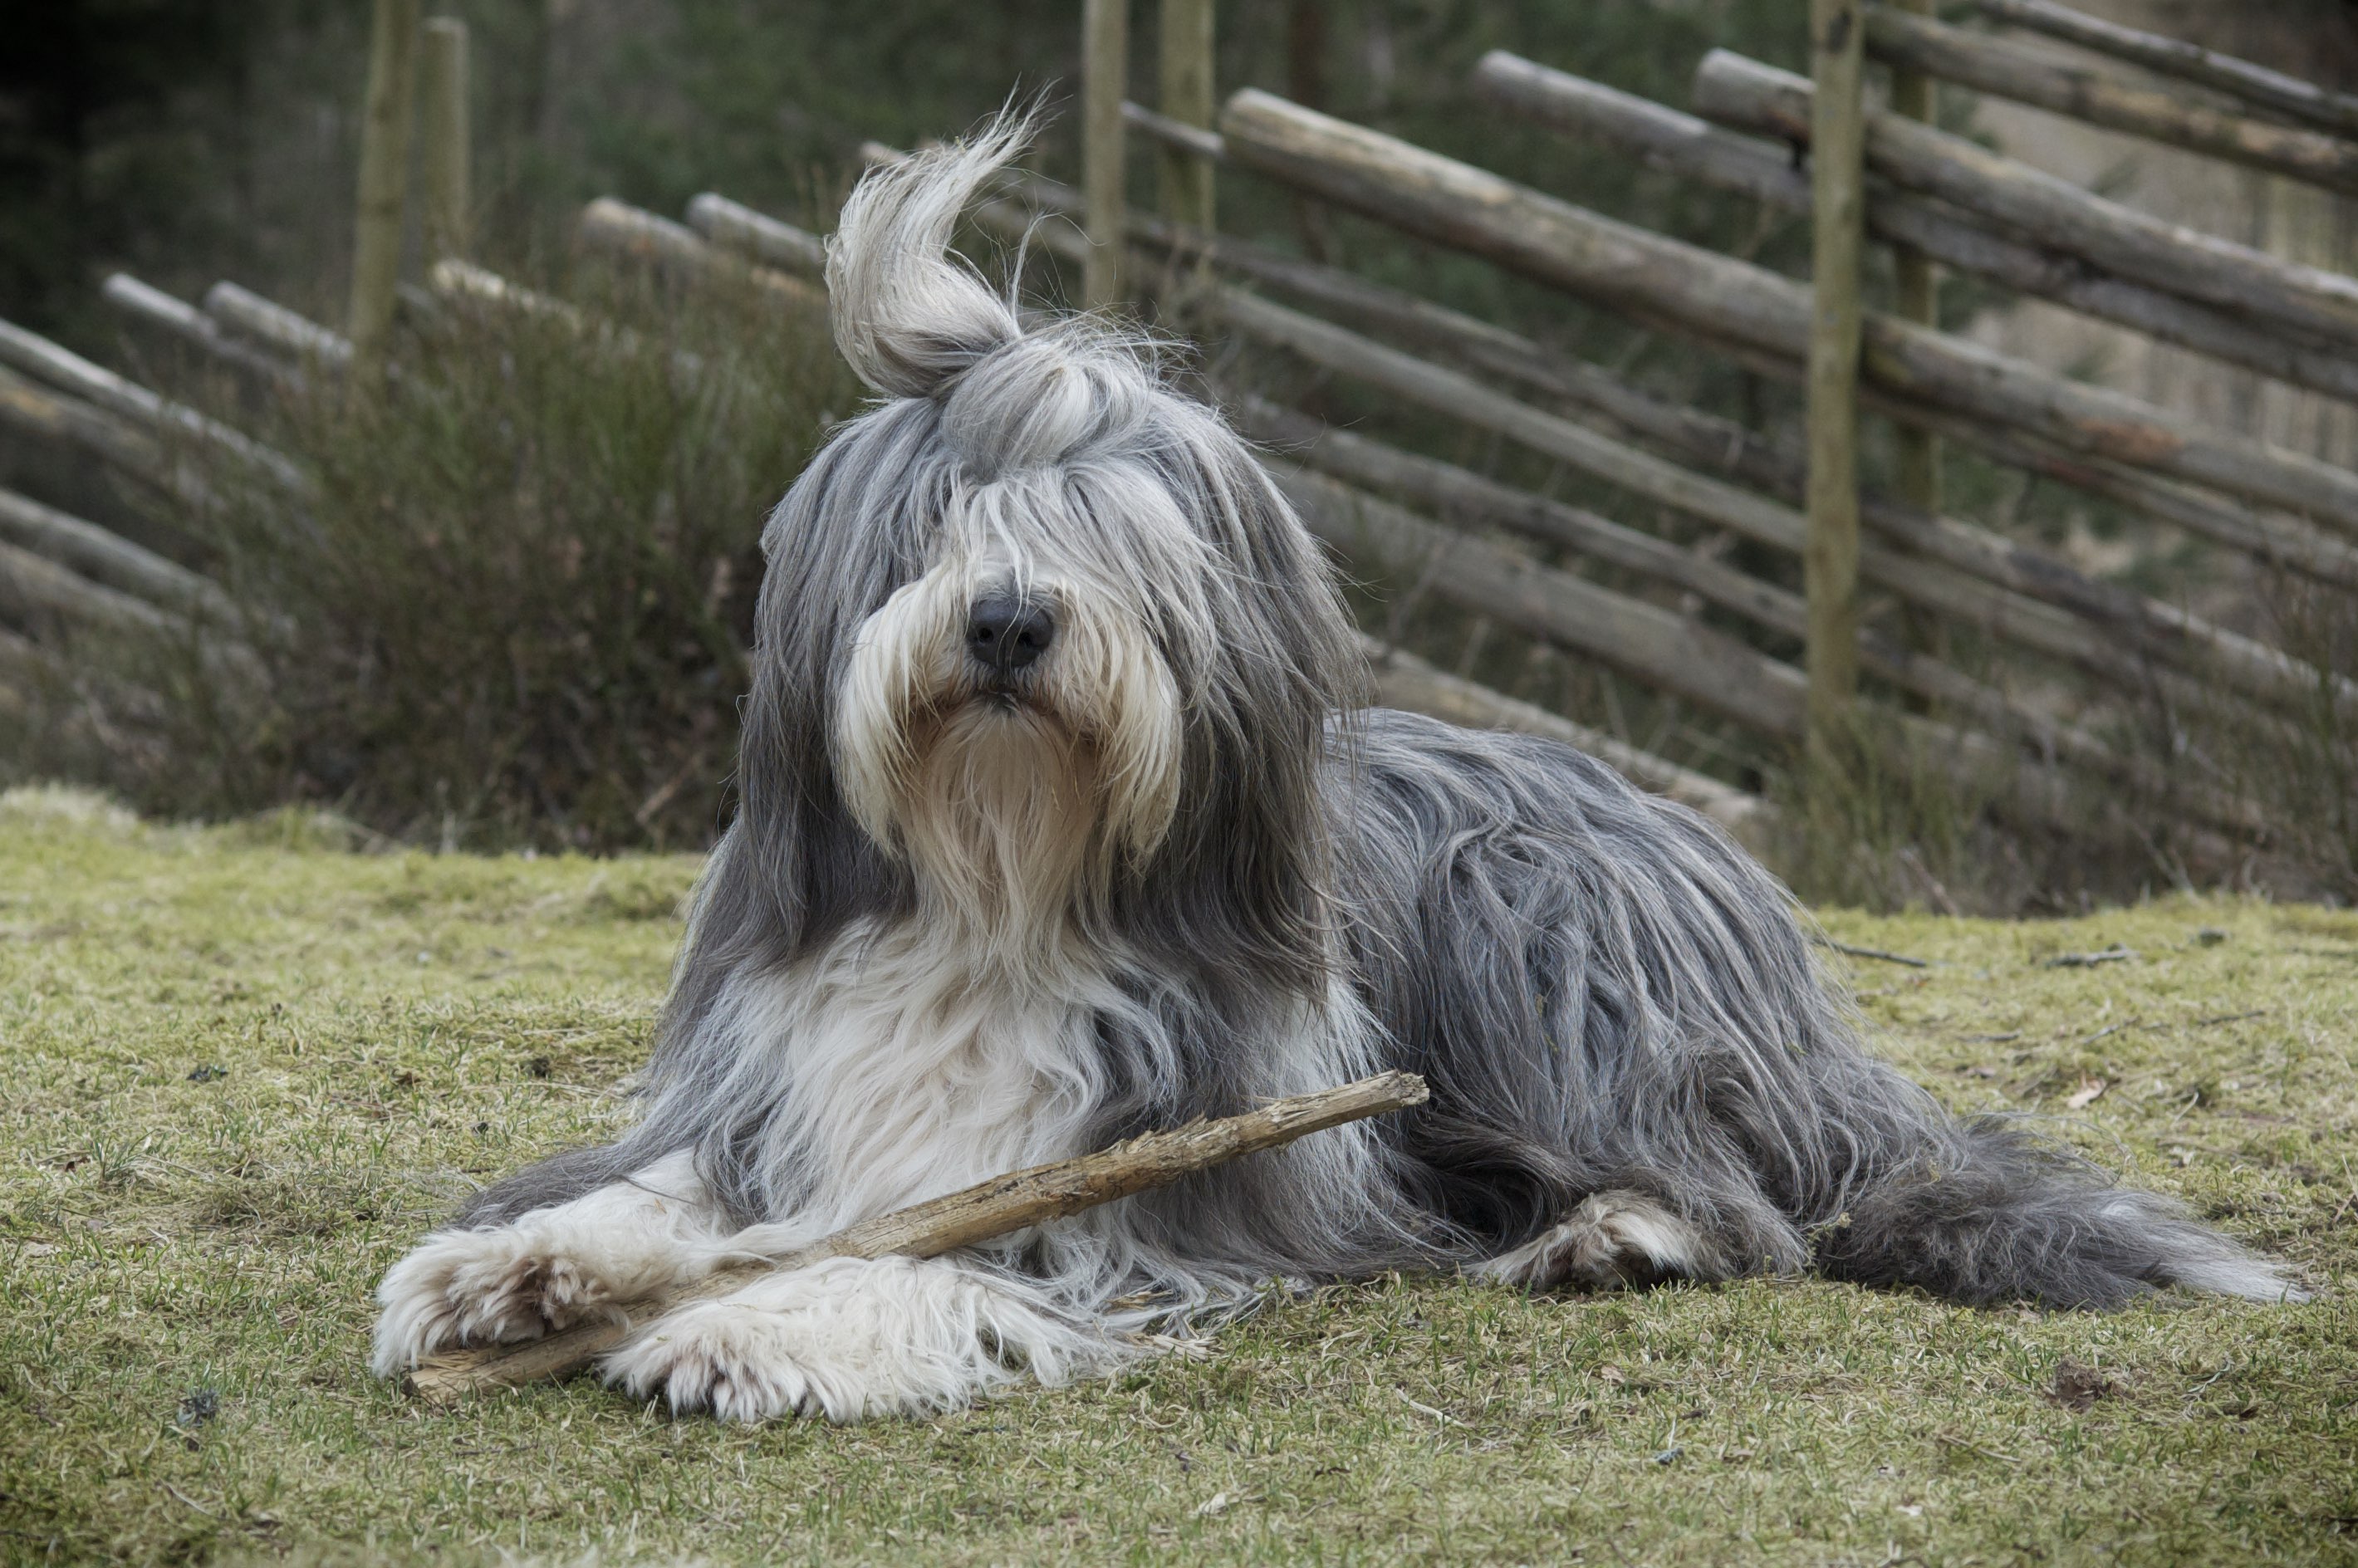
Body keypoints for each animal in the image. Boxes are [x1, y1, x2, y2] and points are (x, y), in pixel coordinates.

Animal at [371, 121, 2303, 1424]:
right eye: (941, 525)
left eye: (1118, 541)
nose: (1005, 622)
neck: (999, 882)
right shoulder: (782, 1090)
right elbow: (691, 1187)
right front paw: (518, 1261)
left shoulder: (1158, 1189)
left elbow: (954, 1244)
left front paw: (760, 1323)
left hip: (1531, 909)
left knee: (1739, 1192)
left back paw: (1610, 1233)